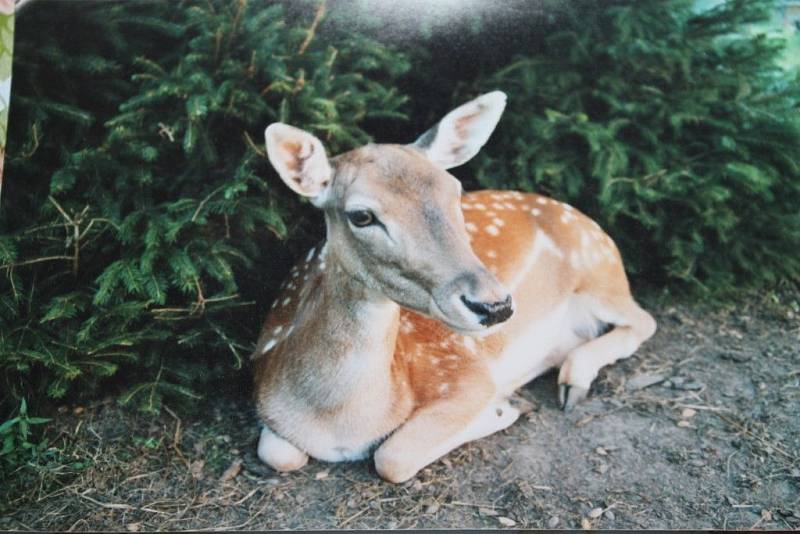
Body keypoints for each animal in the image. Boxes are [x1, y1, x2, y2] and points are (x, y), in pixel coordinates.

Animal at [252, 90, 656, 484]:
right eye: (361, 216)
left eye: (455, 190)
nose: (495, 305)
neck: (339, 425)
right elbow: (279, 454)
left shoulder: (463, 374)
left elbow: (392, 456)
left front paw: (503, 409)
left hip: (599, 273)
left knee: (644, 320)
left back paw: (572, 381)